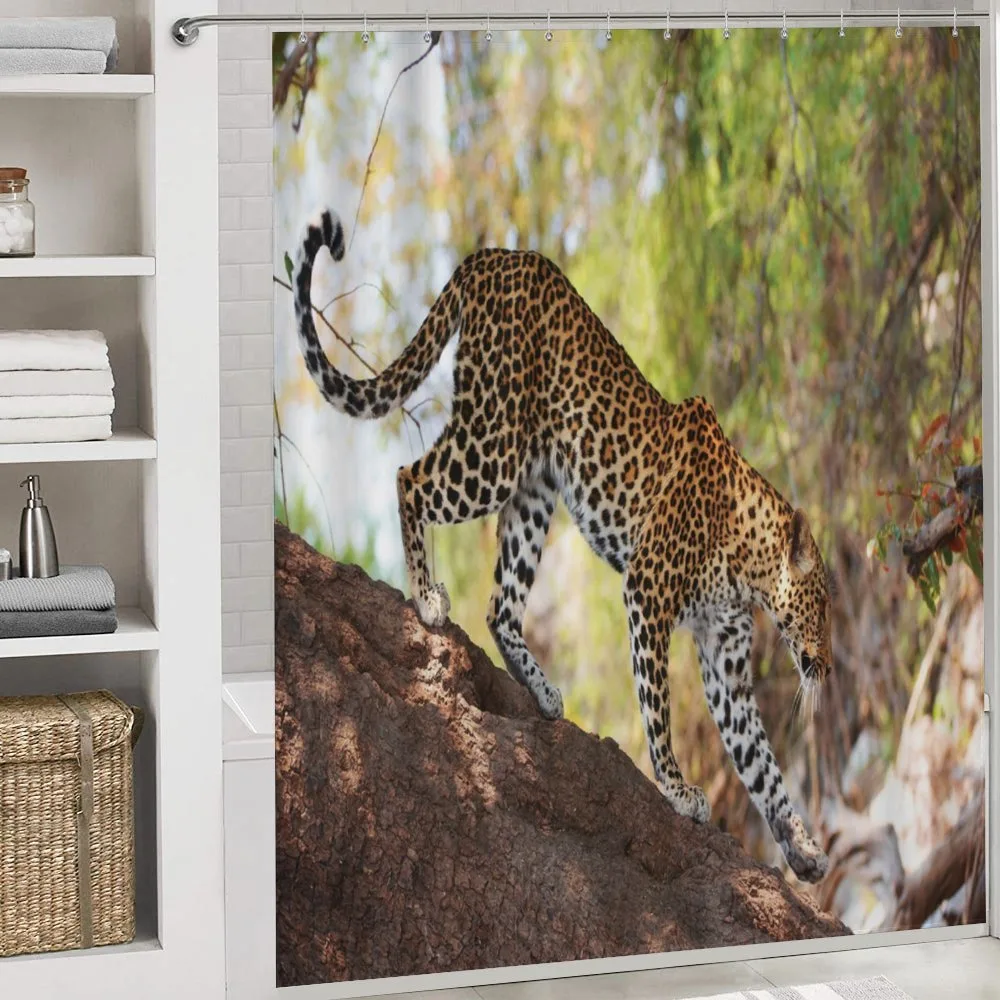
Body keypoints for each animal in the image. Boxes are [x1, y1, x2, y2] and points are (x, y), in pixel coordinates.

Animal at [291, 207, 833, 884]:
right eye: (823, 605)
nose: (828, 665)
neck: (748, 566)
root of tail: (495, 254)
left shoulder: (725, 662)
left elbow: (762, 763)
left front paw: (803, 846)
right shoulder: (647, 590)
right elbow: (658, 704)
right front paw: (678, 788)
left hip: (534, 490)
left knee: (500, 606)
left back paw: (544, 693)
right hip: (492, 445)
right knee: (409, 478)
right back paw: (425, 595)